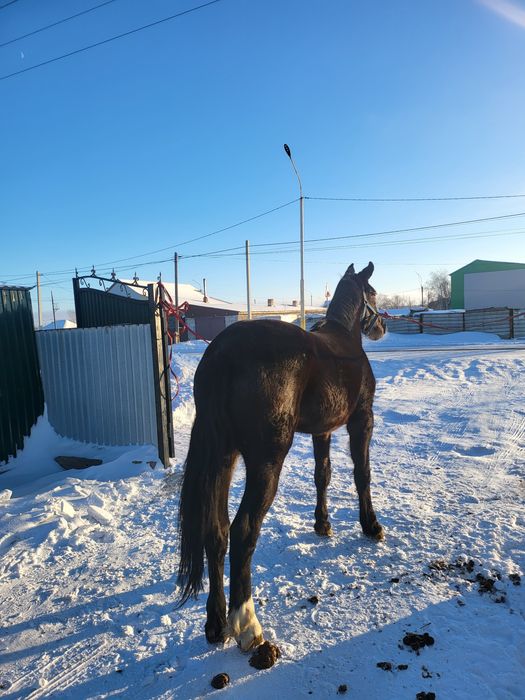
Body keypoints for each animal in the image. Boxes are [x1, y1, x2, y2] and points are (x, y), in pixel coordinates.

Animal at [176, 261, 386, 652]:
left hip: (224, 457)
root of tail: (222, 354)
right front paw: (371, 525)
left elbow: (323, 474)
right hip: (266, 462)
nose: (381, 325)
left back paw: (217, 624)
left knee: (217, 531)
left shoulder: (322, 430)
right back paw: (247, 625)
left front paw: (322, 524)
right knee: (243, 530)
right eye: (374, 293)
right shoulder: (361, 420)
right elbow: (361, 474)